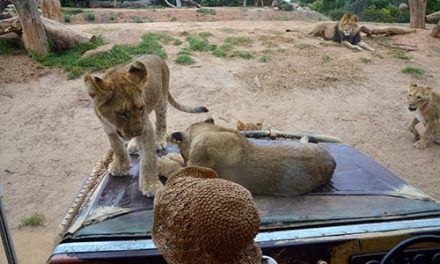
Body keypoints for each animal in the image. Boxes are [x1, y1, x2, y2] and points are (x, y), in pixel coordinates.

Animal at [85, 55, 209, 196]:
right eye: (122, 113)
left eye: (140, 108)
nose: (138, 132)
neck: (113, 123)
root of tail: (157, 56)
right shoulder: (108, 128)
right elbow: (117, 147)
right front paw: (120, 166)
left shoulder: (146, 126)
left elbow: (148, 158)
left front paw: (151, 185)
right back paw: (134, 144)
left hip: (161, 101)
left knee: (161, 123)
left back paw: (159, 141)